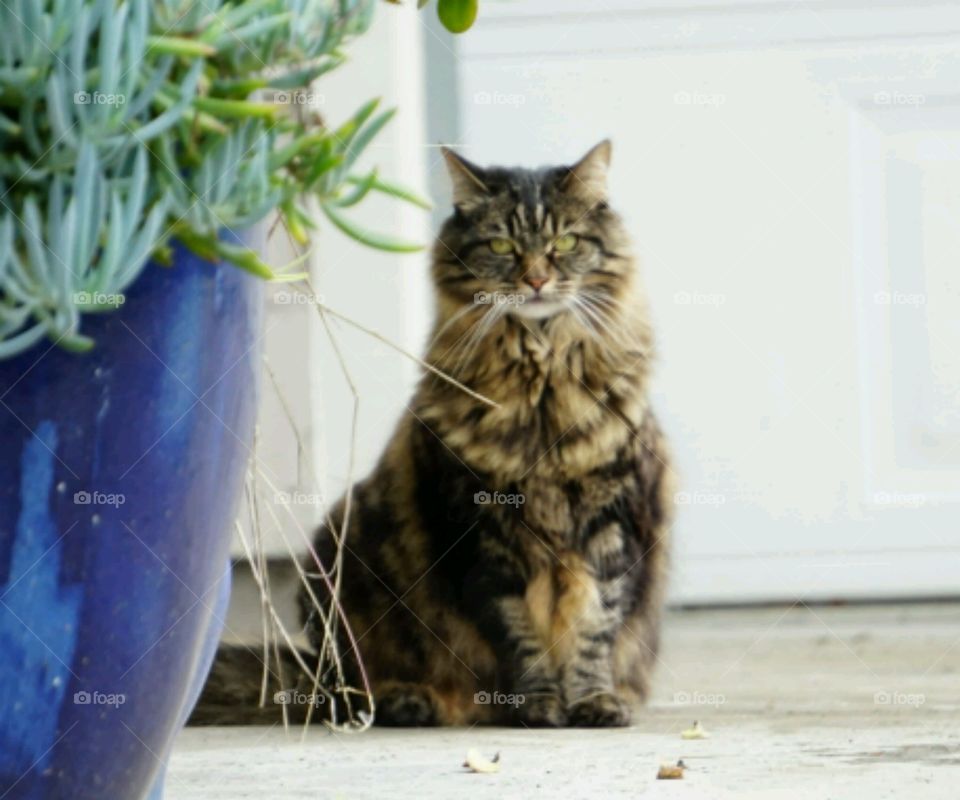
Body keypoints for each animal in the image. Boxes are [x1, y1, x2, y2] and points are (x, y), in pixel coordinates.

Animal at [194, 141, 672, 728]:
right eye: (501, 245)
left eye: (564, 243)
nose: (536, 280)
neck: (540, 393)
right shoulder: (481, 535)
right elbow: (521, 636)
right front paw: (538, 706)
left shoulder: (611, 524)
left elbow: (592, 629)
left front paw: (594, 701)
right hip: (337, 563)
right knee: (352, 688)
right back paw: (411, 699)